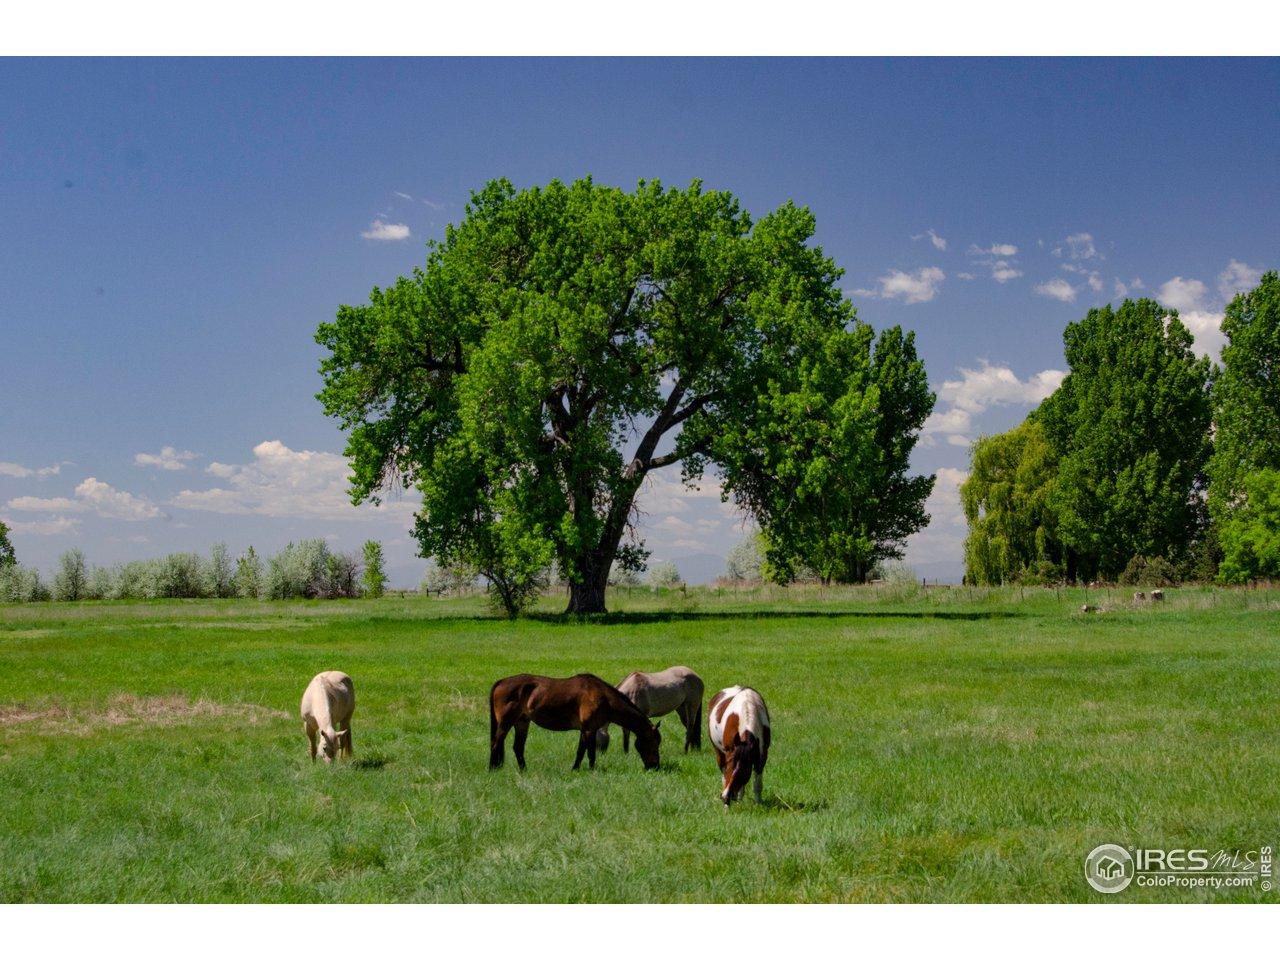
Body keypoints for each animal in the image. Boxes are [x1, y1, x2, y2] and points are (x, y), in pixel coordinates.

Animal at [488, 673, 662, 772]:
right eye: (653, 744)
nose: (655, 767)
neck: (604, 698)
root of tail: (501, 682)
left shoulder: (585, 729)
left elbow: (581, 751)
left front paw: (575, 769)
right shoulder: (590, 729)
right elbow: (590, 753)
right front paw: (592, 770)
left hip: (522, 722)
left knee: (518, 747)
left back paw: (524, 770)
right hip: (506, 722)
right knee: (496, 743)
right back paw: (492, 769)